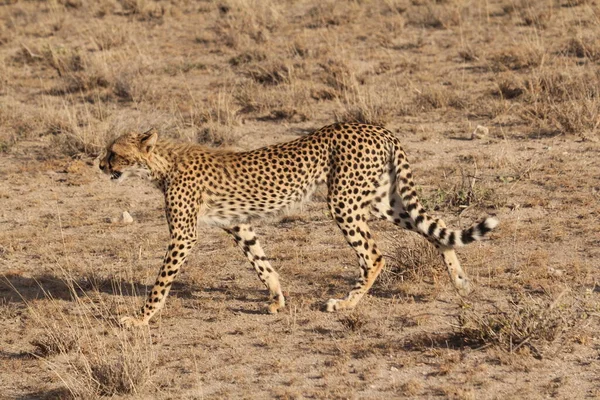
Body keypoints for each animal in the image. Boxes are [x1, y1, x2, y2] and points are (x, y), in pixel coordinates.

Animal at [102, 123, 496, 326]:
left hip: (344, 202)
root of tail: (375, 126)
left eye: (114, 153)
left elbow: (161, 281)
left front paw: (140, 317)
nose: (100, 165)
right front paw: (277, 298)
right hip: (381, 200)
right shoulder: (239, 225)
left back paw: (345, 304)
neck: (161, 163)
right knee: (435, 226)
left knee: (374, 256)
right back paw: (460, 282)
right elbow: (261, 263)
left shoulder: (184, 235)